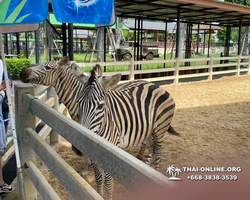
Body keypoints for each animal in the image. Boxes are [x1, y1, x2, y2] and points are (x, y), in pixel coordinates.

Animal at [75, 67, 180, 198]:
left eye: (100, 106)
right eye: (78, 102)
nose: (78, 148)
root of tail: (157, 86)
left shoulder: (110, 152)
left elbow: (109, 184)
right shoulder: (93, 152)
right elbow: (99, 179)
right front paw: (98, 194)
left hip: (160, 129)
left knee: (158, 152)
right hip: (145, 131)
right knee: (152, 148)